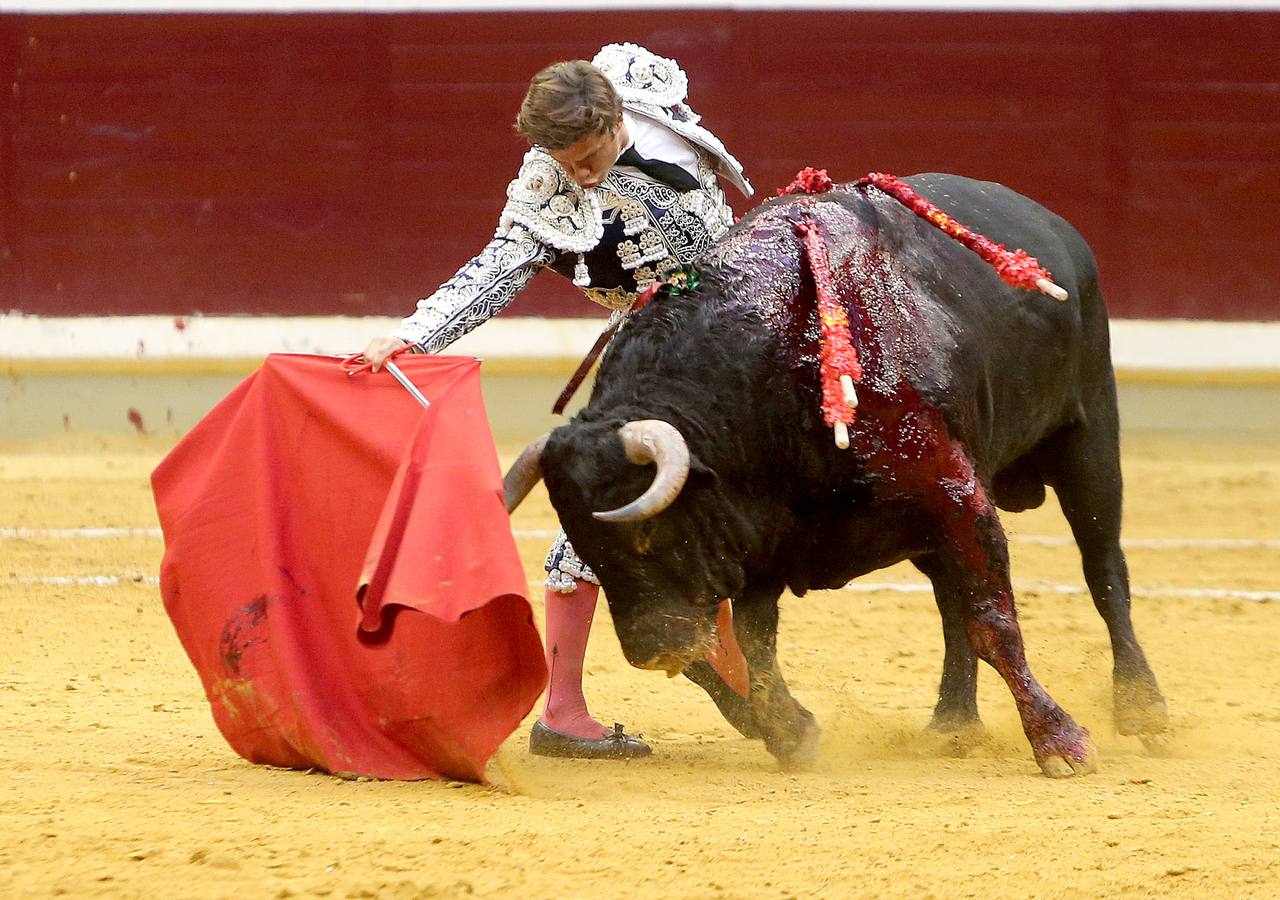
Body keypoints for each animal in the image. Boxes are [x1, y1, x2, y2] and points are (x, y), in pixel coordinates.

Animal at [504, 172, 1167, 778]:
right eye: (586, 542)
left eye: (648, 535)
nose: (651, 651)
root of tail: (1052, 224)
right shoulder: (762, 541)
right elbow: (757, 645)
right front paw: (792, 733)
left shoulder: (953, 493)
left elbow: (994, 621)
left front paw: (1060, 743)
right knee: (951, 601)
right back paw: (952, 723)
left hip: (1088, 437)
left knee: (1104, 569)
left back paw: (1142, 709)